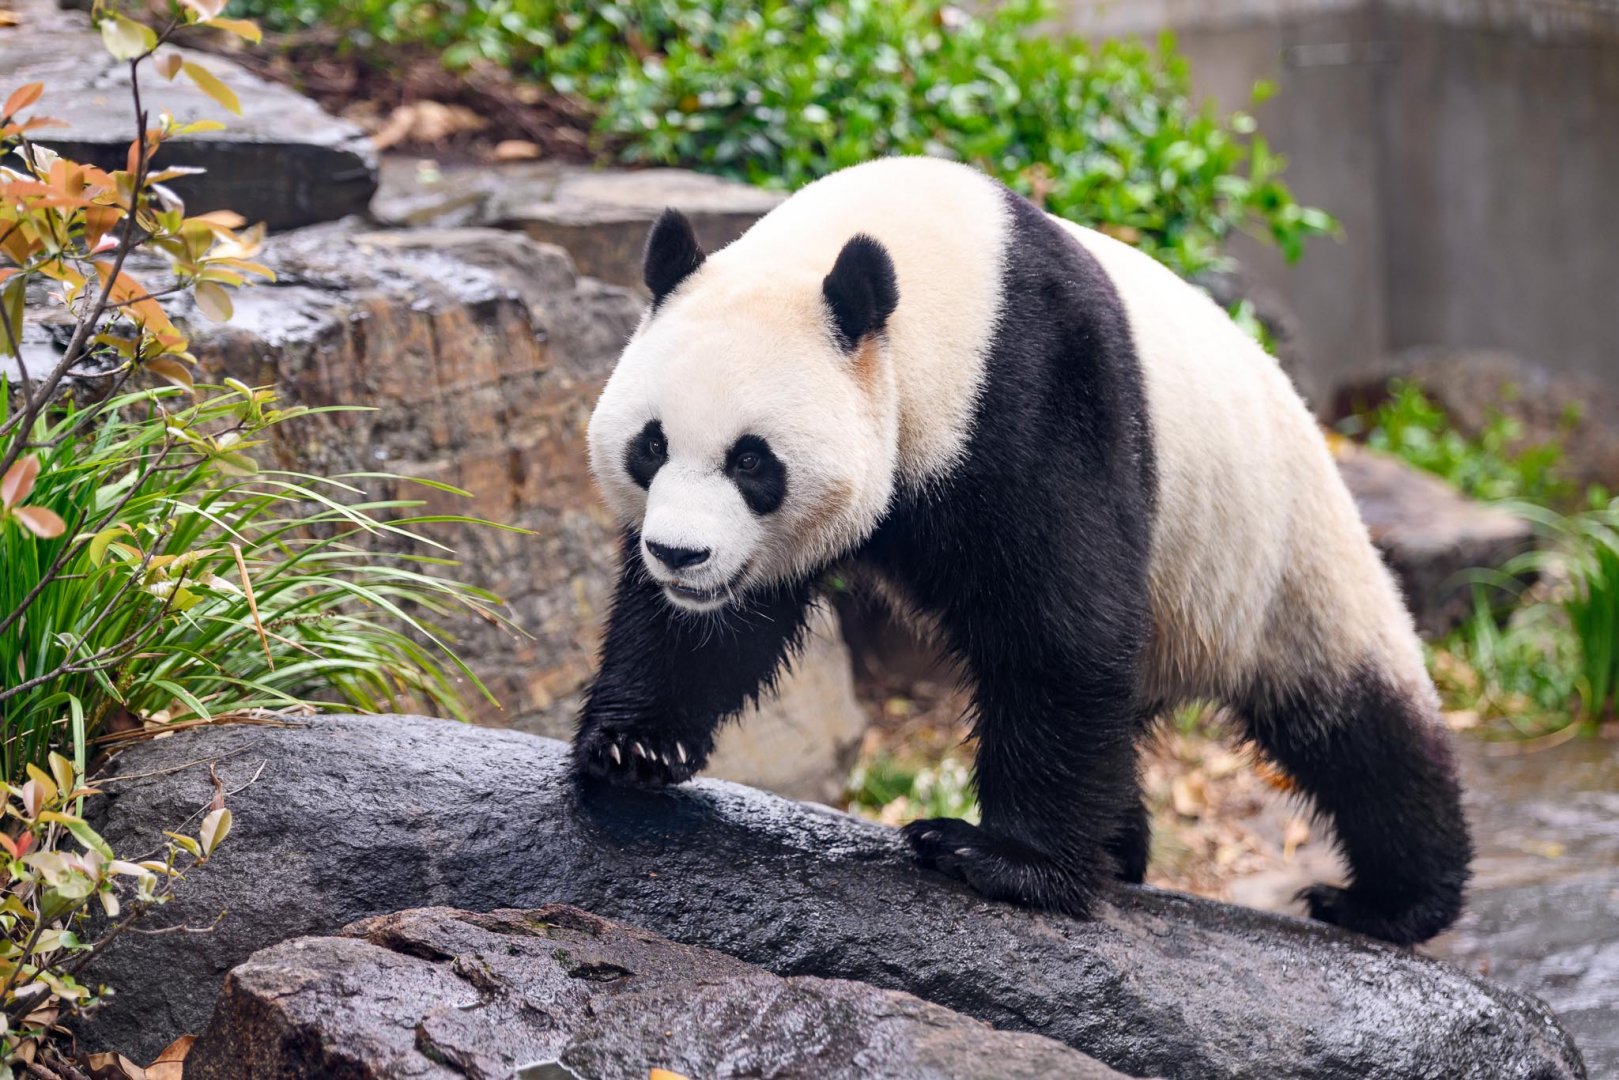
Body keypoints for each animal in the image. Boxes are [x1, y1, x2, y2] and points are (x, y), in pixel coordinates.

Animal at [575, 156, 1472, 946]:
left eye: (752, 461)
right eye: (650, 446)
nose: (679, 554)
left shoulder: (1041, 387)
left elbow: (1061, 623)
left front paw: (997, 859)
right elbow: (711, 630)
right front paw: (634, 748)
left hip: (1277, 561)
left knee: (1359, 730)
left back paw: (1387, 902)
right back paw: (1121, 847)